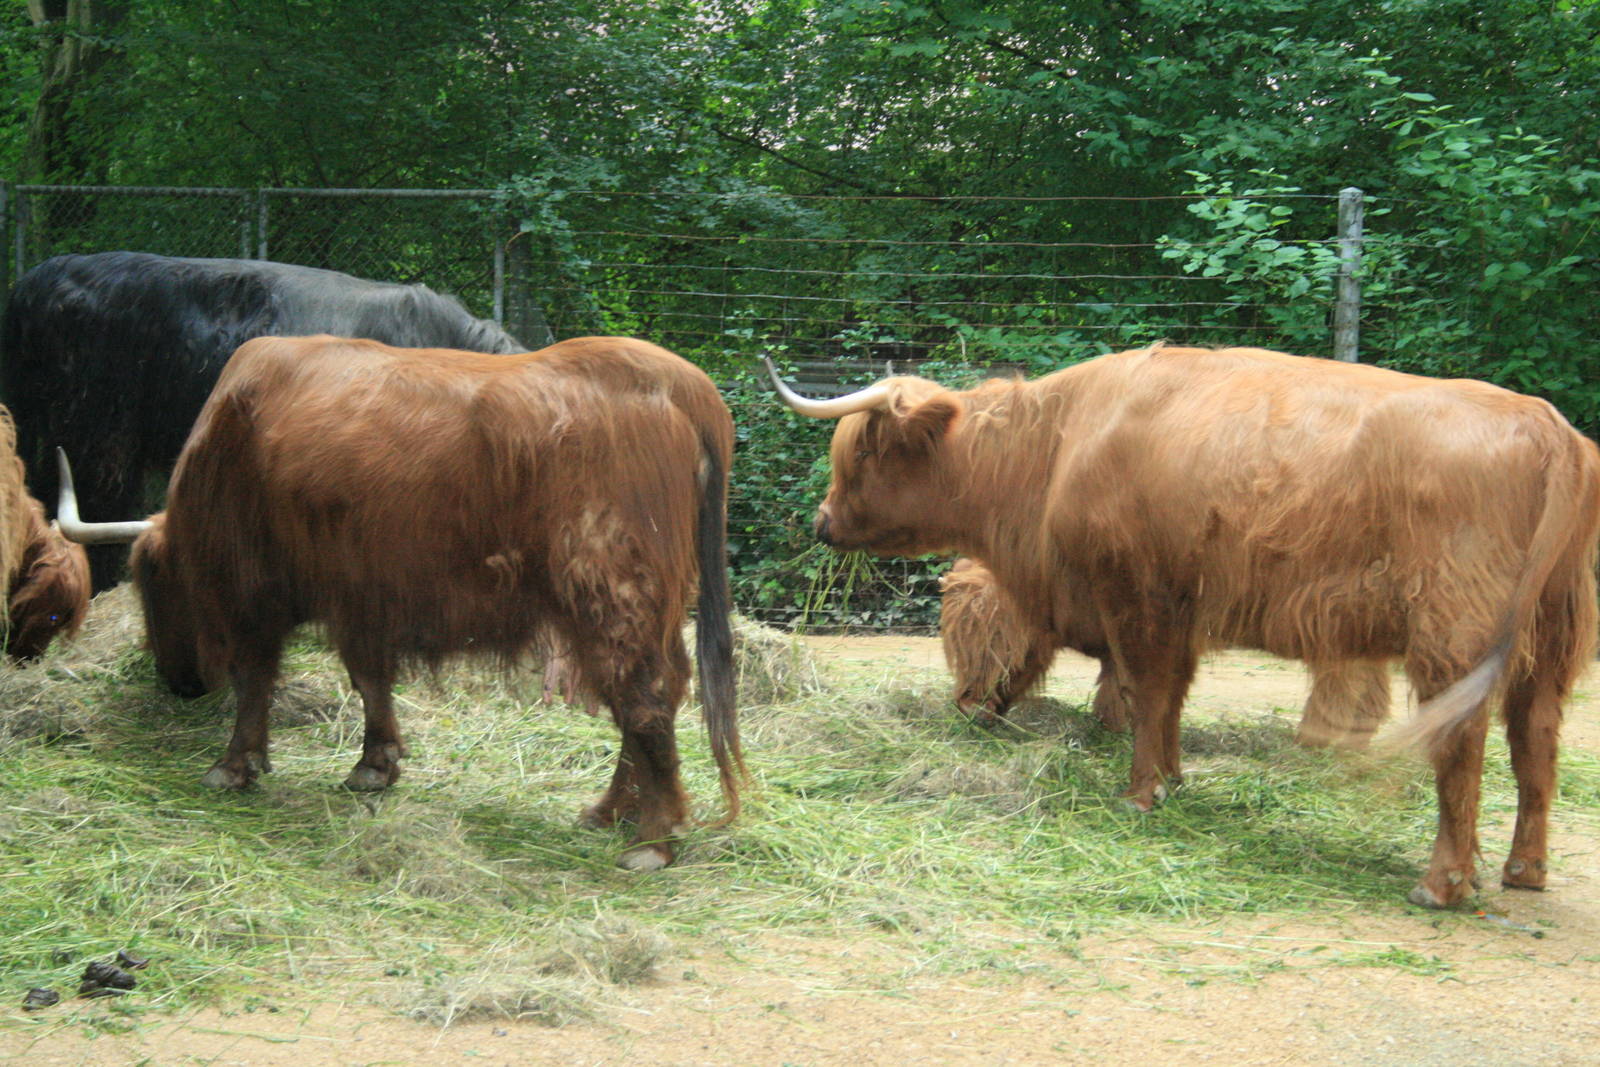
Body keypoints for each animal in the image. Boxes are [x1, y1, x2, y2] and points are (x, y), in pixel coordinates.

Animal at [59, 334, 742, 871]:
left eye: (152, 589)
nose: (176, 683)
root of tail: (680, 383)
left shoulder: (259, 593)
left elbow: (257, 679)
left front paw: (233, 766)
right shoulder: (363, 594)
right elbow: (370, 677)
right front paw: (375, 764)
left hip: (611, 591)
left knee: (644, 694)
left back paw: (652, 839)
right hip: (646, 606)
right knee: (655, 692)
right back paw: (610, 812)